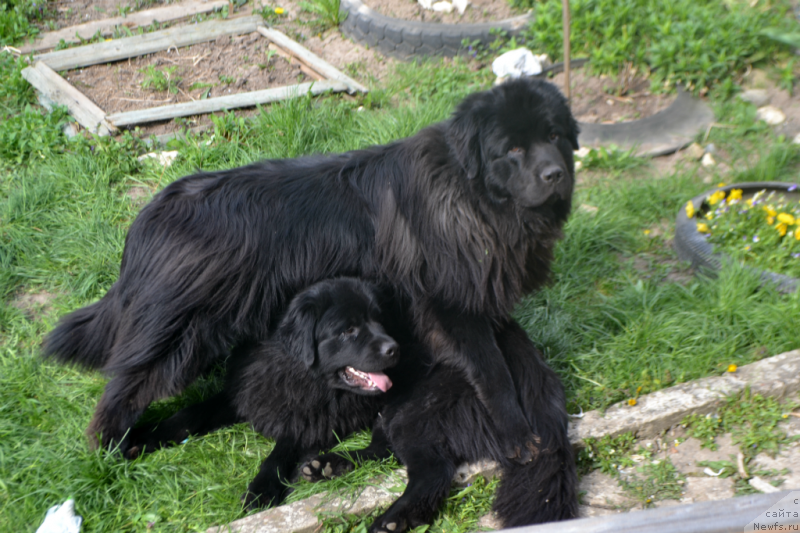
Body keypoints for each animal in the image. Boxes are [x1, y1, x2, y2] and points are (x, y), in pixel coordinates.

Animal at [43, 75, 580, 466]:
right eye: (512, 149)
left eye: (554, 136)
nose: (555, 174)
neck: (472, 196)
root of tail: (151, 213)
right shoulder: (450, 305)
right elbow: (492, 373)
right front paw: (518, 436)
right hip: (178, 332)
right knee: (125, 387)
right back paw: (112, 449)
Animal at [304, 318, 580, 528]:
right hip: (398, 414)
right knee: (382, 451)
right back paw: (326, 465)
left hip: (413, 414)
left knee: (431, 471)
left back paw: (393, 520)